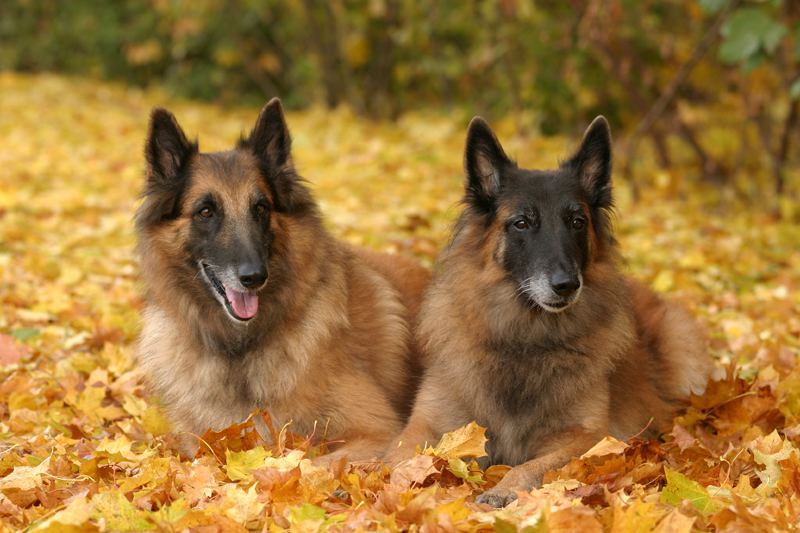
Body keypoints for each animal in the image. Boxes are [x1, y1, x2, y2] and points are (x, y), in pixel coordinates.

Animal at [134, 98, 428, 462]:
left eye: (261, 208)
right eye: (205, 212)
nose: (253, 277)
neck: (242, 349)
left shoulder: (377, 433)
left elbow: (311, 464)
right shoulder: (199, 445)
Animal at [388, 114, 712, 504]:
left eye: (577, 222)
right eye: (522, 222)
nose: (567, 285)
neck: (525, 337)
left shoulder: (587, 438)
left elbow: (533, 467)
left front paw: (503, 490)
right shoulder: (427, 424)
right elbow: (397, 458)